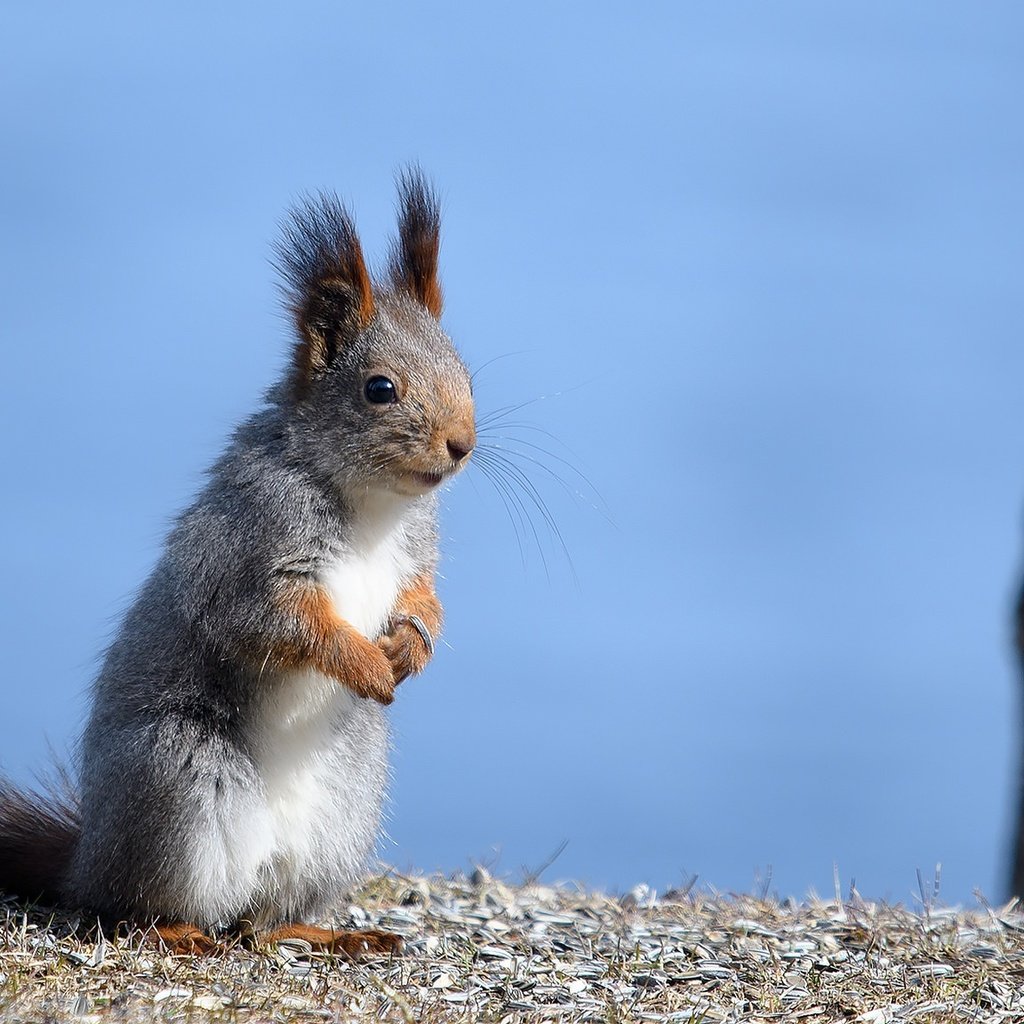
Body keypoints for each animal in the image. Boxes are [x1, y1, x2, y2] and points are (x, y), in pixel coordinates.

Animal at [0, 169, 475, 958]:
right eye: (379, 388)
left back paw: (327, 932)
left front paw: (412, 645)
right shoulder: (247, 552)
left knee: (266, 920)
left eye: (463, 366)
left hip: (345, 809)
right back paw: (181, 930)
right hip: (180, 781)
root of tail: (86, 861)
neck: (368, 502)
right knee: (136, 906)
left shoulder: (418, 551)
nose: (463, 445)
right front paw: (365, 663)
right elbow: (279, 622)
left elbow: (424, 597)